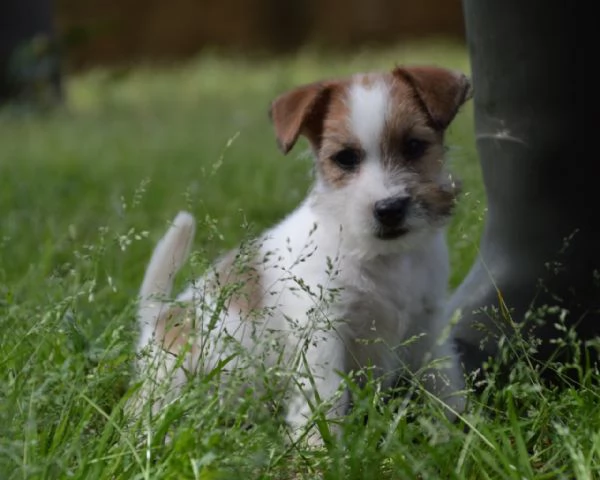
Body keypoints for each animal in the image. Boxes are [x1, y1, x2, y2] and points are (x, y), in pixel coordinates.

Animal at [132, 64, 474, 446]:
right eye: (345, 158)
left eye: (414, 146)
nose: (389, 209)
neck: (383, 258)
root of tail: (158, 315)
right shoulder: (322, 332)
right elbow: (326, 397)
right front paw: (322, 450)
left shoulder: (428, 325)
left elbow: (442, 381)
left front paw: (458, 431)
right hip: (170, 381)